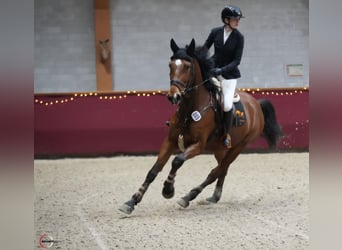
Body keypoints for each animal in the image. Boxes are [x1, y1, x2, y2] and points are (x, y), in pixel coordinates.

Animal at [119, 38, 282, 214]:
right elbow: (153, 171)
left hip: (239, 147)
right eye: (170, 65)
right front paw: (131, 201)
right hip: (220, 148)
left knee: (216, 171)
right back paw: (214, 197)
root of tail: (256, 104)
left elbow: (177, 161)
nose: (173, 96)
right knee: (222, 170)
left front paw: (168, 189)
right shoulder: (169, 141)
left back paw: (188, 197)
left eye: (187, 66)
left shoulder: (198, 145)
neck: (190, 109)